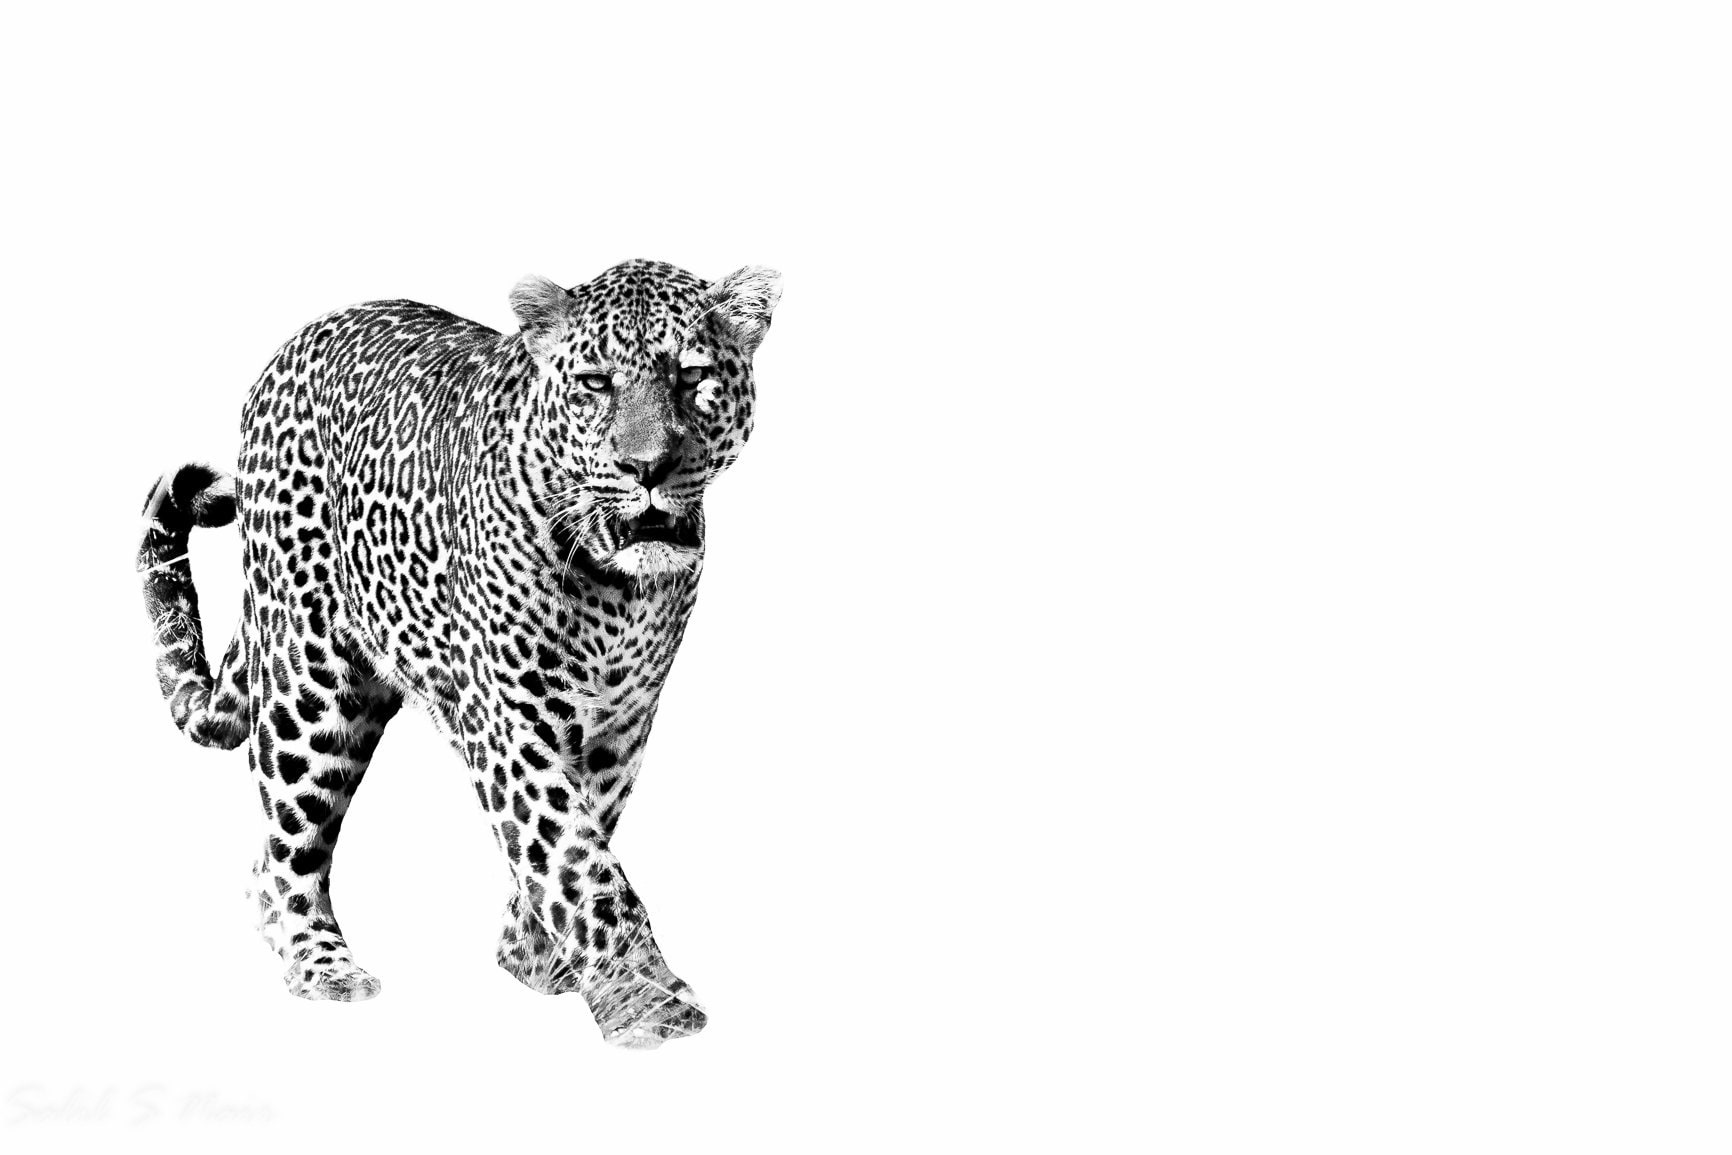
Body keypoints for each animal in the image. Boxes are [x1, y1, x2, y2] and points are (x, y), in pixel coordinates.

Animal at [136, 258, 780, 1048]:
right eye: (595, 383)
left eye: (692, 376)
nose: (646, 467)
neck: (620, 587)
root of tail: (297, 340)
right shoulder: (511, 718)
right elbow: (577, 858)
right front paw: (646, 1005)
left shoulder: (621, 724)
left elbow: (576, 836)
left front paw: (533, 961)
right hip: (309, 687)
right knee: (282, 854)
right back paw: (324, 968)